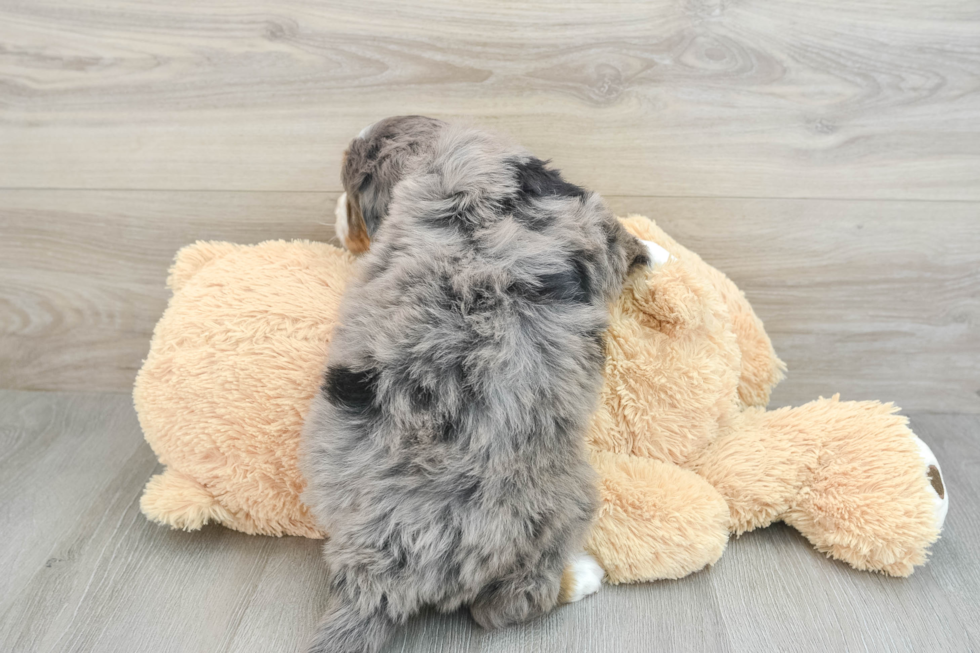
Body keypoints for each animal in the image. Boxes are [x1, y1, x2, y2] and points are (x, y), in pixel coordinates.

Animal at [302, 117, 664, 652]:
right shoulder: (594, 223)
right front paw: (660, 251)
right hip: (561, 506)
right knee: (506, 606)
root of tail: (384, 567)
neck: (435, 156)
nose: (335, 219)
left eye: (353, 196)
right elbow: (628, 239)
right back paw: (584, 575)